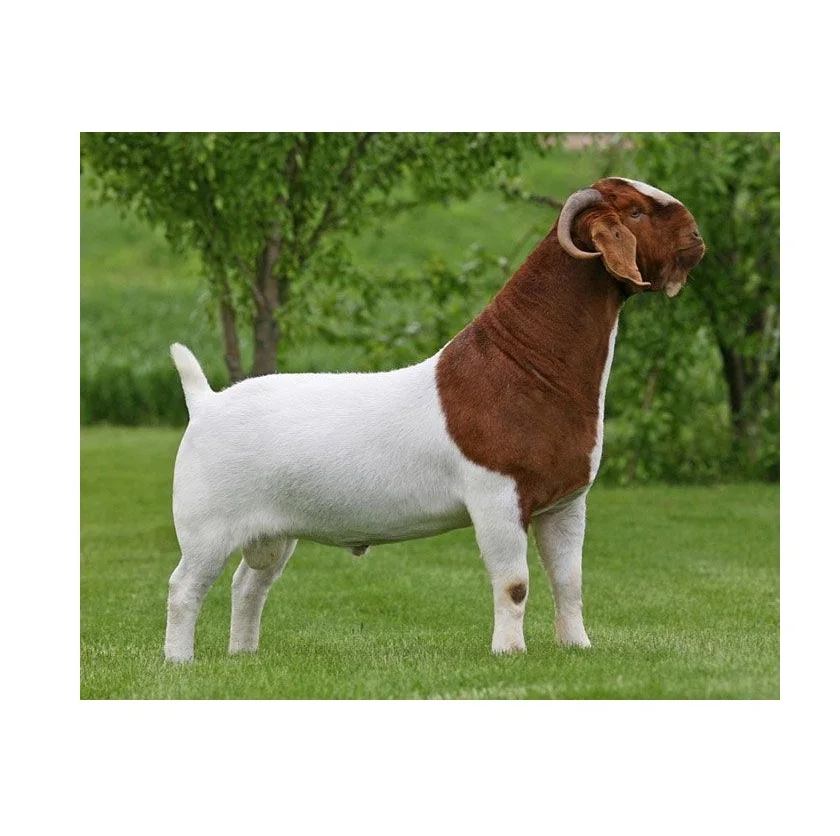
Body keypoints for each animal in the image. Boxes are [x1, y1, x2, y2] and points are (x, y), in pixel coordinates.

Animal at [164, 177, 705, 662]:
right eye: (635, 212)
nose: (697, 237)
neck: (523, 366)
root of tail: (206, 401)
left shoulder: (565, 503)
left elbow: (569, 582)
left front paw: (577, 647)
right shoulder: (497, 497)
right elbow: (514, 584)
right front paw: (510, 653)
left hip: (272, 533)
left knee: (248, 585)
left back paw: (244, 655)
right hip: (206, 526)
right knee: (183, 587)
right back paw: (179, 661)